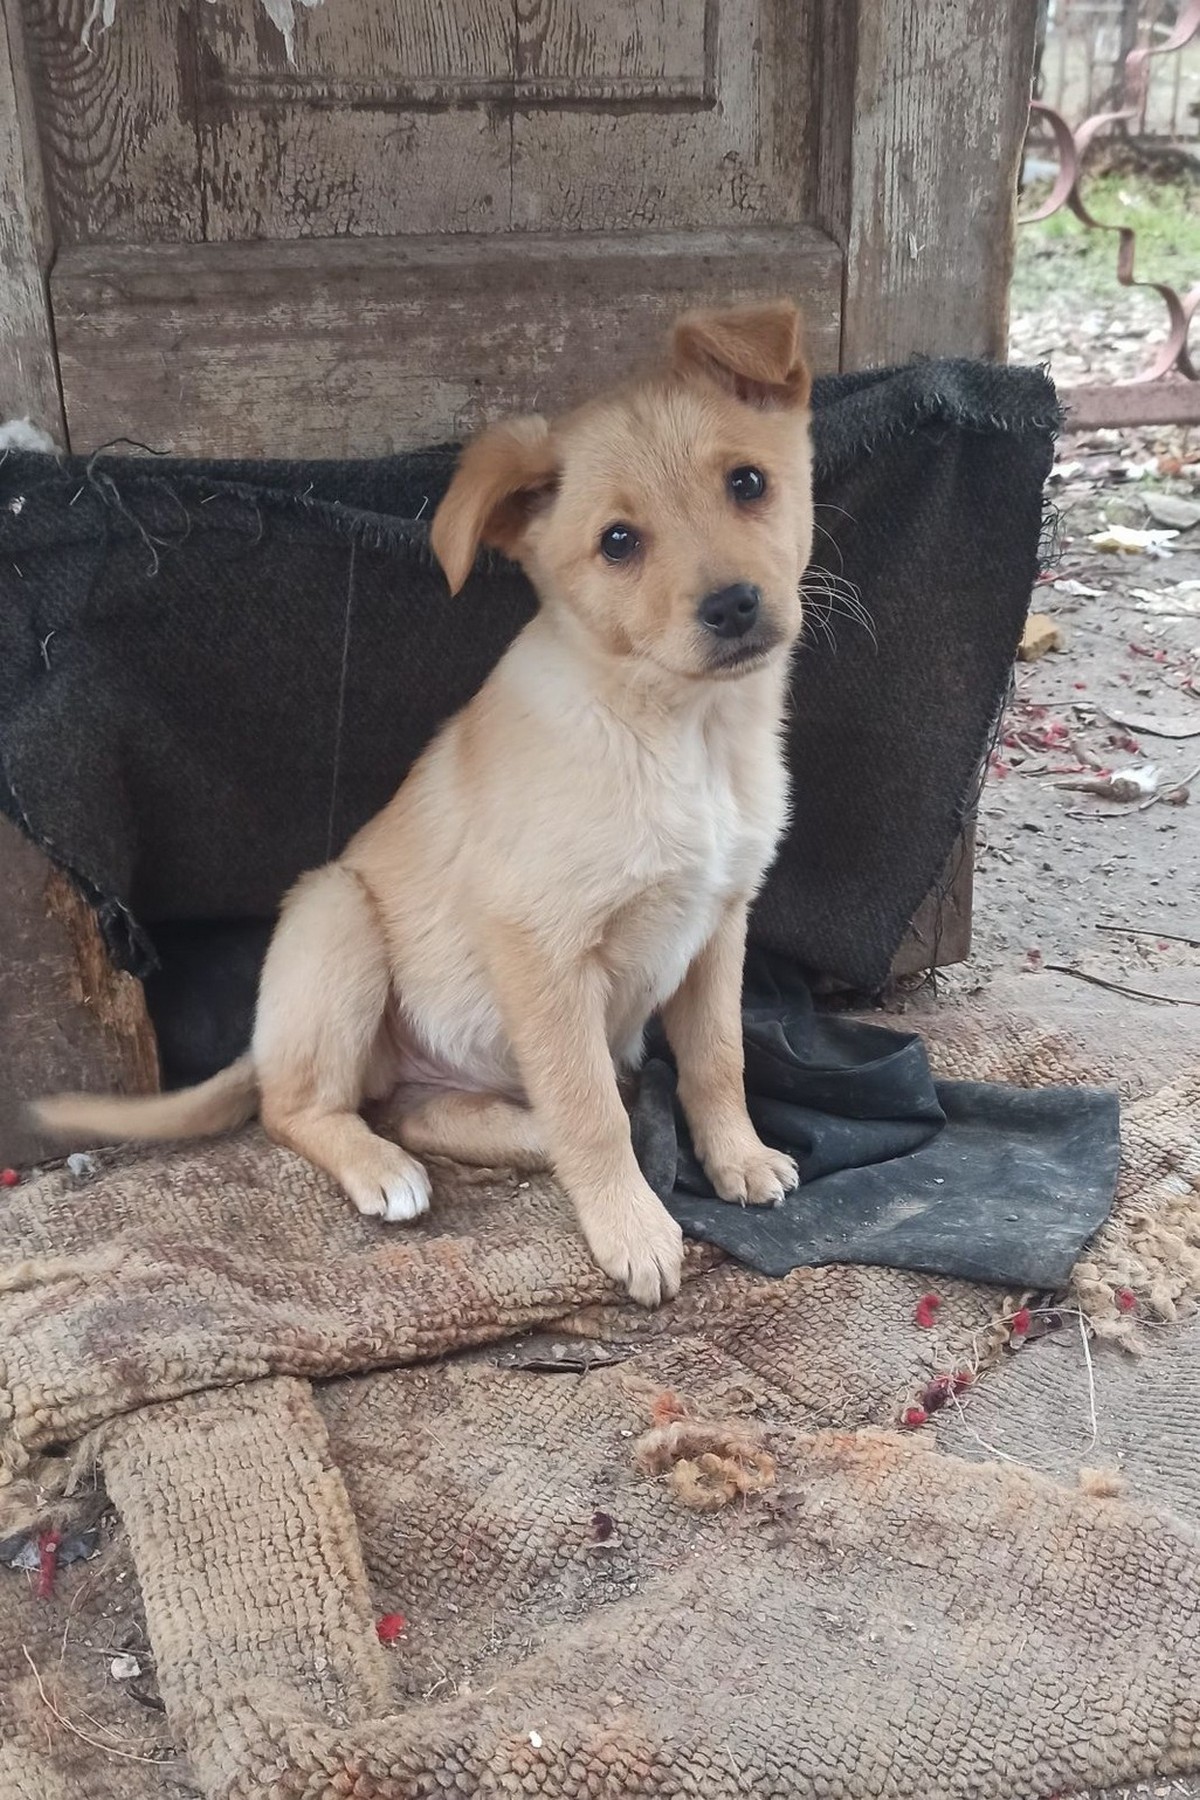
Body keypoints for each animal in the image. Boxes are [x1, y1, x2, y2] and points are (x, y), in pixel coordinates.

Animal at [35, 298, 816, 1310]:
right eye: (618, 542)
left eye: (747, 482)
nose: (732, 606)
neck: (685, 731)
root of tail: (267, 1040)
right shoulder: (539, 942)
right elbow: (588, 1111)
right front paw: (633, 1229)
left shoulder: (720, 924)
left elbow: (719, 1060)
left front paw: (739, 1157)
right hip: (337, 917)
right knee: (298, 1108)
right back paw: (381, 1167)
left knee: (440, 1114)